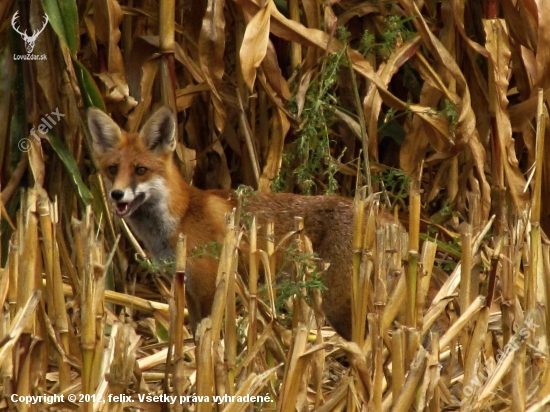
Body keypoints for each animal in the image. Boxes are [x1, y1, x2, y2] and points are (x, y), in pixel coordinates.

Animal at [87, 104, 406, 340]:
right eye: (112, 169)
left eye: (140, 170)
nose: (116, 195)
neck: (182, 216)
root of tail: (385, 216)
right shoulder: (188, 289)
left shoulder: (209, 287)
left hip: (342, 308)